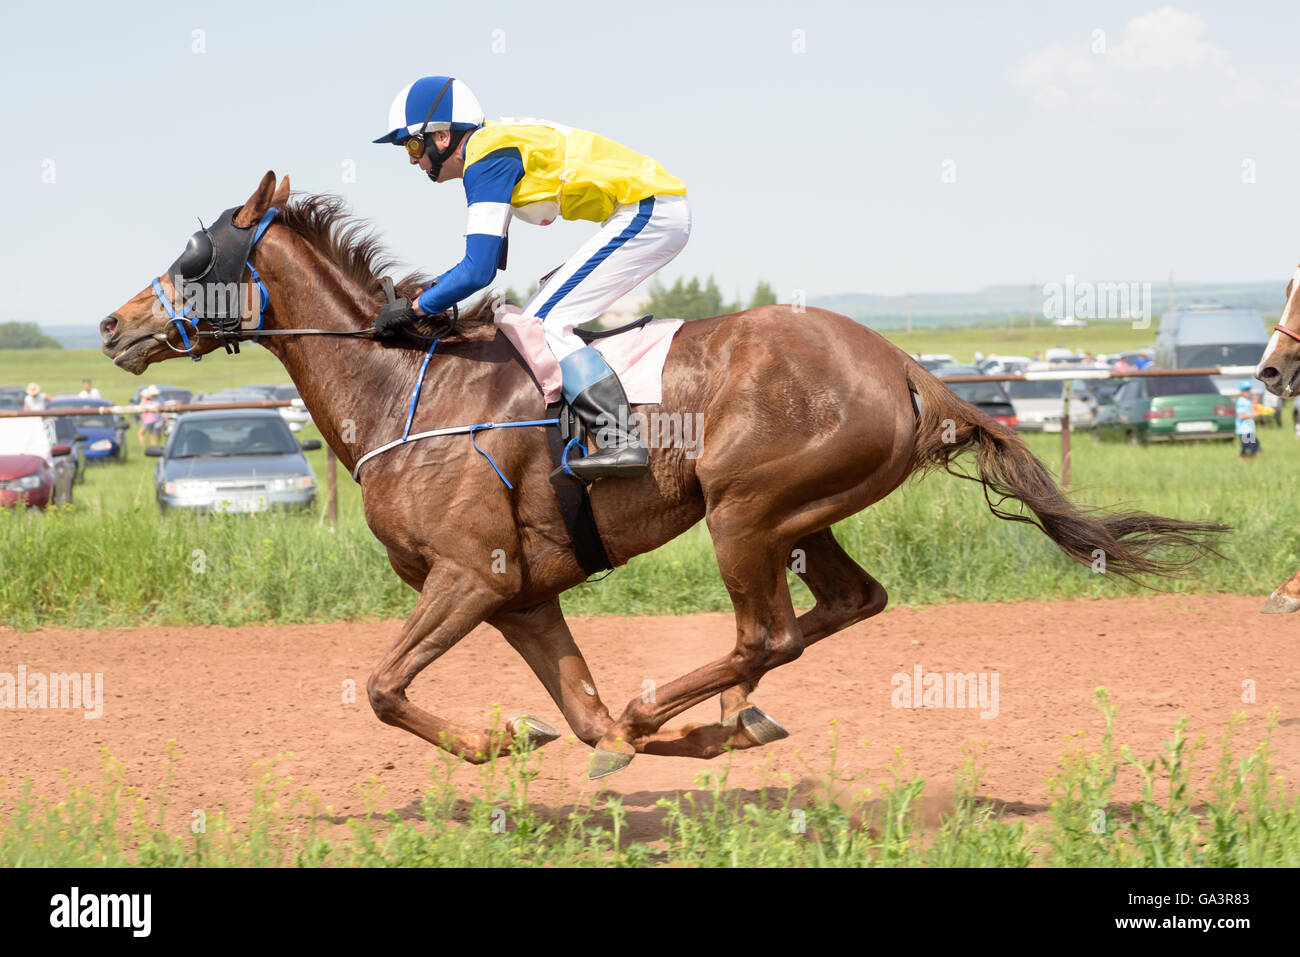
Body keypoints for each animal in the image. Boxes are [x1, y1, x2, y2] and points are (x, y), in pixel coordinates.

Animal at [100, 172, 1226, 778]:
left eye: (194, 255)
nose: (114, 323)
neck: (407, 395)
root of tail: (908, 367)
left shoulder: (471, 576)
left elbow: (382, 686)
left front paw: (506, 740)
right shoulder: (519, 595)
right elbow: (576, 711)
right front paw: (586, 738)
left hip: (745, 511)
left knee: (769, 631)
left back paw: (687, 713)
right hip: (800, 514)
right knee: (846, 603)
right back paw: (725, 718)